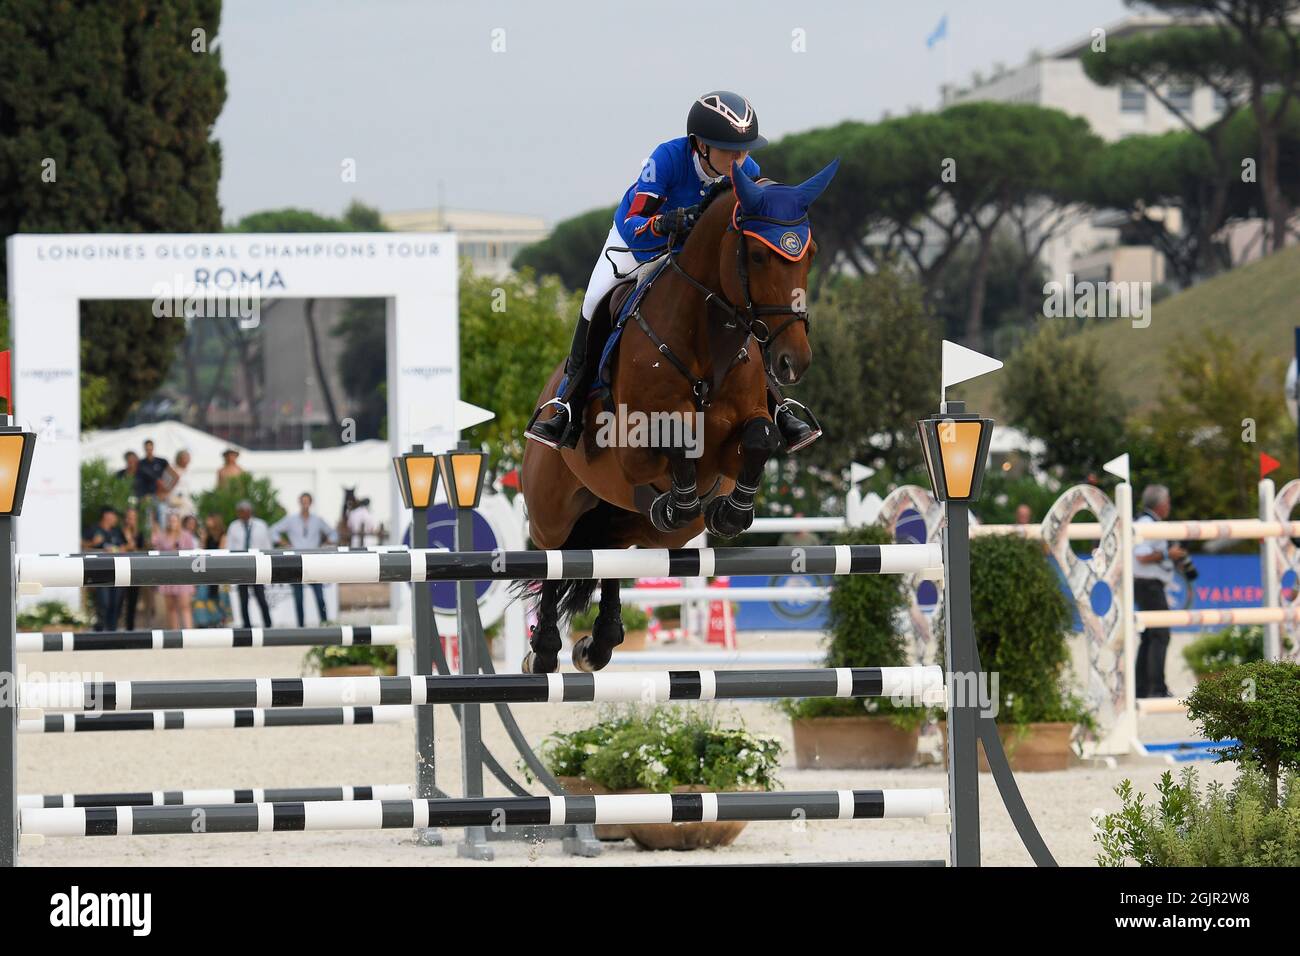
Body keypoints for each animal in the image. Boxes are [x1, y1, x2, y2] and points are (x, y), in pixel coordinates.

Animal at [512, 158, 837, 671]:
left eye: (810, 254)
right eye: (758, 256)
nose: (793, 362)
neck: (706, 342)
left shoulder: (735, 439)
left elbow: (760, 438)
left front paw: (730, 513)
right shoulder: (633, 447)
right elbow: (680, 437)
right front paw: (684, 498)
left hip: (643, 528)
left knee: (612, 552)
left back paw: (600, 641)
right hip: (552, 508)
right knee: (556, 557)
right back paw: (543, 650)